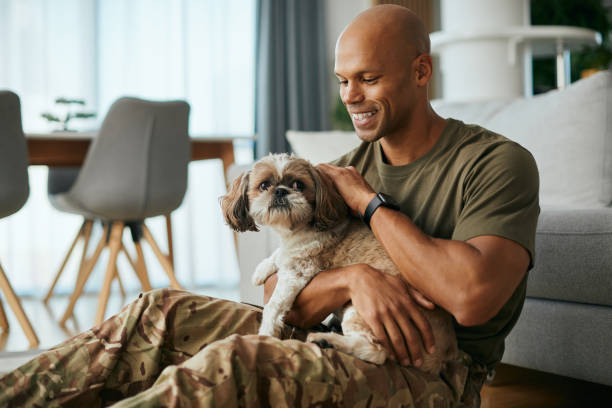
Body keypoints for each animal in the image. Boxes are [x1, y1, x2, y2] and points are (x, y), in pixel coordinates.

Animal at [219, 154, 454, 376]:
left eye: (298, 185)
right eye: (264, 185)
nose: (280, 191)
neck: (298, 229)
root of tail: (443, 357)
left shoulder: (298, 270)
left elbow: (274, 305)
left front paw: (266, 334)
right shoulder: (291, 251)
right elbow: (280, 254)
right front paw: (262, 269)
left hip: (364, 311)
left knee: (376, 352)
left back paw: (327, 340)